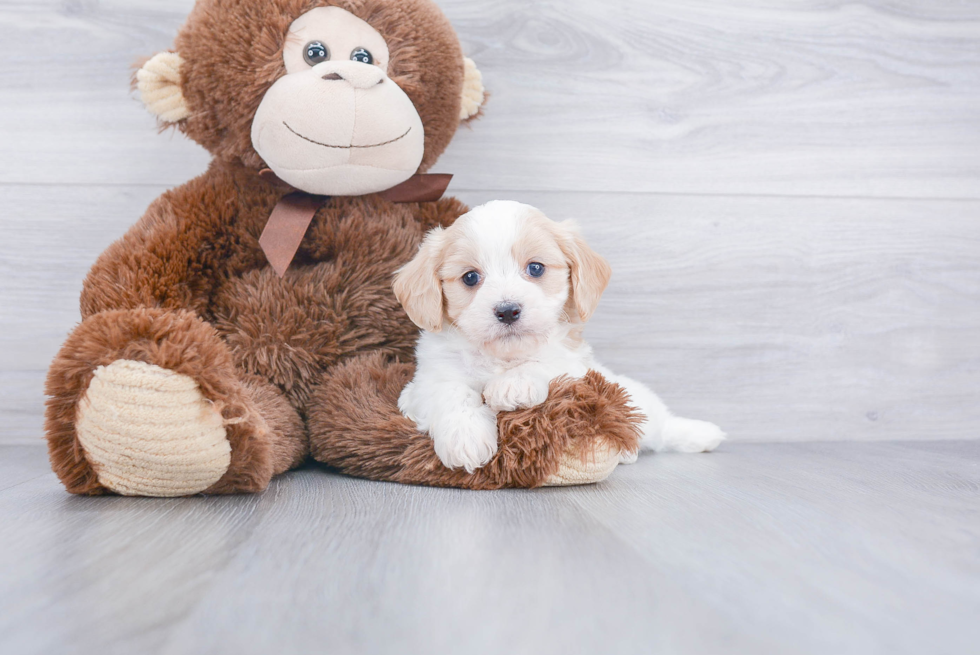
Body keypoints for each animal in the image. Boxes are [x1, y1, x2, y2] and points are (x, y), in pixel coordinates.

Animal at [388, 200, 720, 472]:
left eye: (536, 268)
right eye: (470, 277)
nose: (507, 311)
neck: (503, 359)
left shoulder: (575, 367)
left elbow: (546, 362)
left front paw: (514, 385)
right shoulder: (424, 384)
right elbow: (451, 392)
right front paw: (465, 438)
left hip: (638, 403)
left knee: (659, 428)